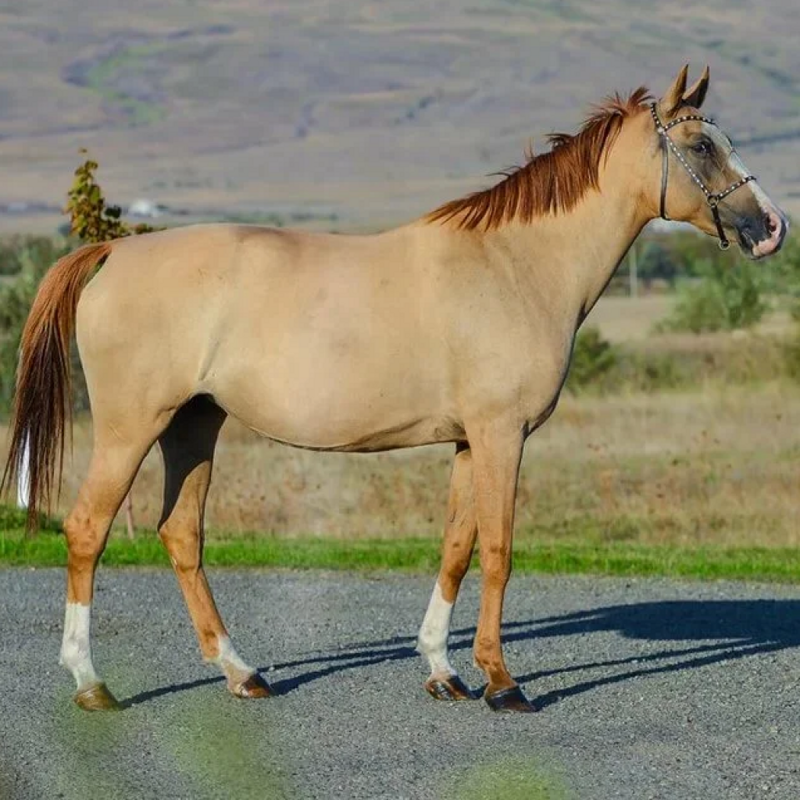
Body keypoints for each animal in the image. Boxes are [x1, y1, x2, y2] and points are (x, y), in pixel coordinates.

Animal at [0, 64, 788, 712]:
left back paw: (242, 673)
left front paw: (444, 670)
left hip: (193, 424)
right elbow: (499, 551)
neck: (516, 264)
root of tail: (113, 251)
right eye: (703, 146)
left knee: (180, 535)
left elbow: (457, 547)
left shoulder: (471, 442)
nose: (772, 228)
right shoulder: (501, 435)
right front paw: (503, 683)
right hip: (134, 426)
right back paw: (91, 683)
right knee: (87, 530)